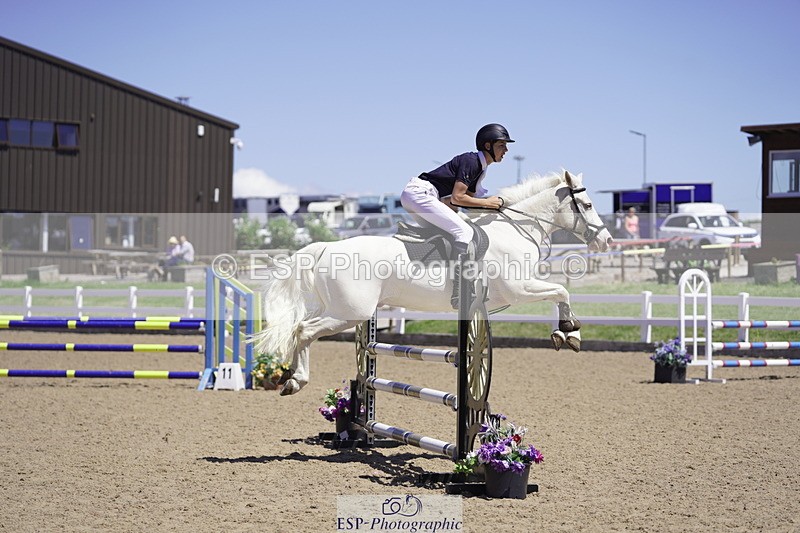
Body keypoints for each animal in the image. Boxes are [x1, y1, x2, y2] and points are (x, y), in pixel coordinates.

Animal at [252, 170, 613, 395]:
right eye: (588, 205)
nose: (606, 241)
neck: (516, 230)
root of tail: (326, 247)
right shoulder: (520, 288)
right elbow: (561, 291)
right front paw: (569, 331)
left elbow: (559, 292)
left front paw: (565, 332)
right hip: (350, 313)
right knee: (304, 331)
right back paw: (295, 381)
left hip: (338, 309)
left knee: (302, 328)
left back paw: (290, 379)